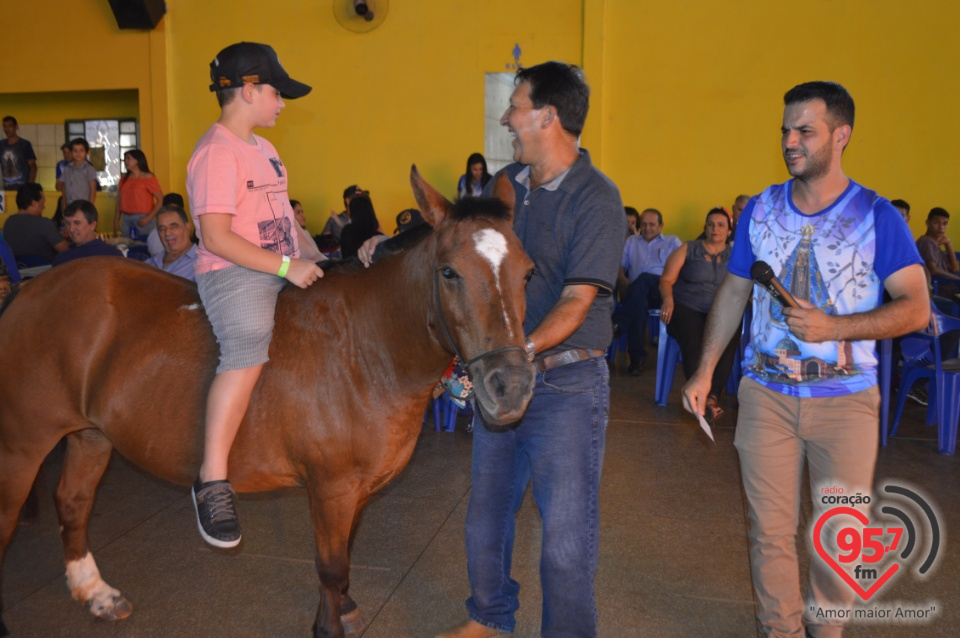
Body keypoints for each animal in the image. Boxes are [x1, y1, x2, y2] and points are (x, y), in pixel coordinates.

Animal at [0, 169, 536, 638]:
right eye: (449, 272)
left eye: (528, 273)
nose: (510, 385)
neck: (366, 348)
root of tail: (29, 291)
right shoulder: (331, 488)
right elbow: (331, 566)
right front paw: (328, 626)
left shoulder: (357, 491)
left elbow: (343, 560)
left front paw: (342, 611)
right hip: (22, 447)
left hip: (89, 435)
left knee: (73, 503)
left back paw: (95, 592)